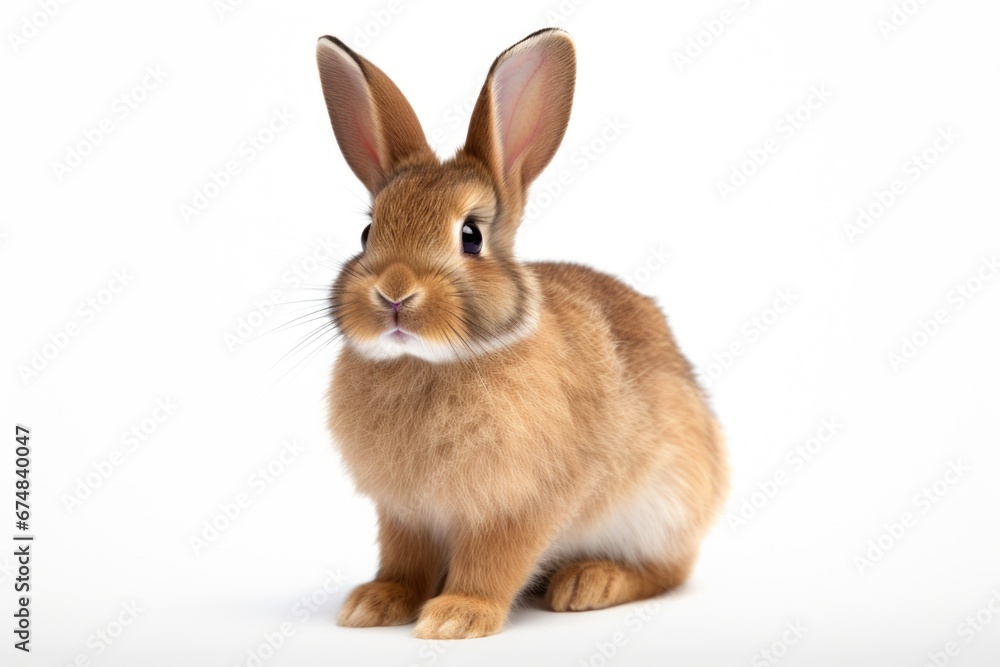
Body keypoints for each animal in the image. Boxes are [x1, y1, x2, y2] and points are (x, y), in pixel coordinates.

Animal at [316, 27, 732, 640]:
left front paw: (457, 616)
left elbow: (494, 562)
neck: (433, 362)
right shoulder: (405, 514)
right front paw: (376, 603)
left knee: (668, 570)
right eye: (368, 232)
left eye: (470, 236)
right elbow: (403, 560)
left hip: (662, 502)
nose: (394, 293)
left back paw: (587, 583)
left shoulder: (520, 506)